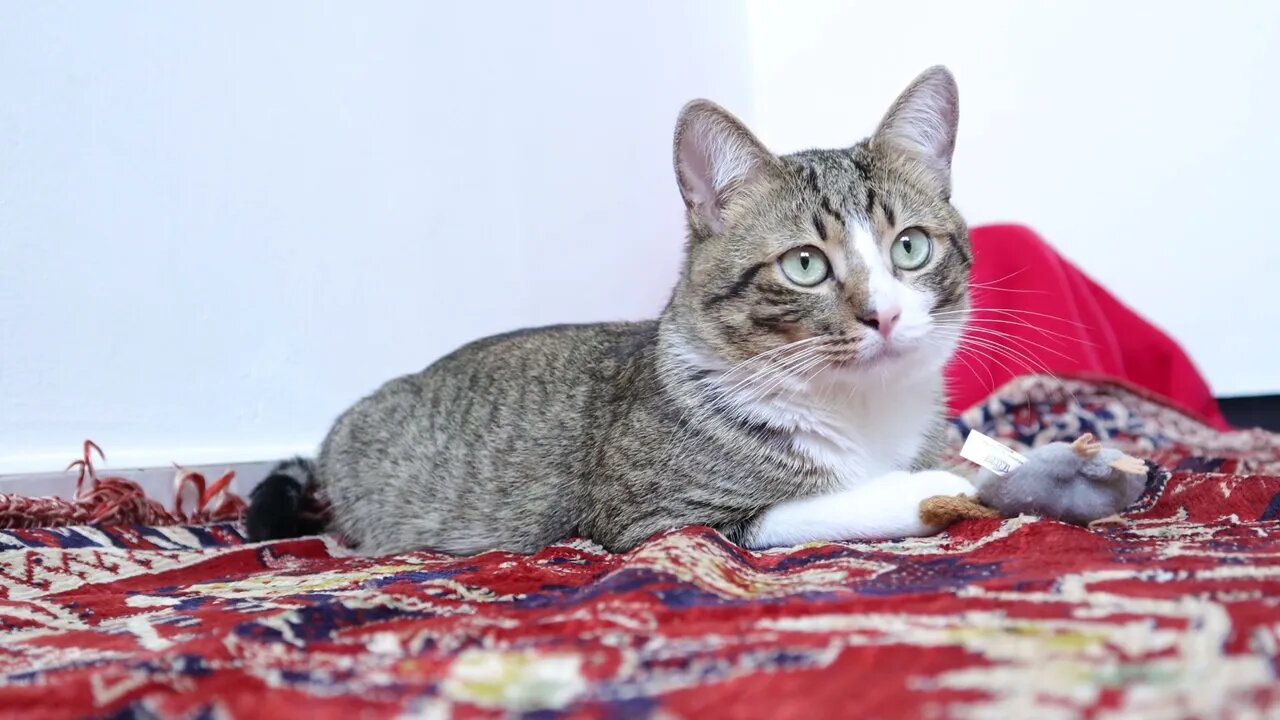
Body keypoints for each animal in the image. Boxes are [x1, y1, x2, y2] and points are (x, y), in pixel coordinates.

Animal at [244, 64, 972, 550]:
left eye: (909, 247)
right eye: (804, 265)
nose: (884, 315)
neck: (862, 410)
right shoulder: (655, 515)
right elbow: (813, 502)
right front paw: (933, 488)